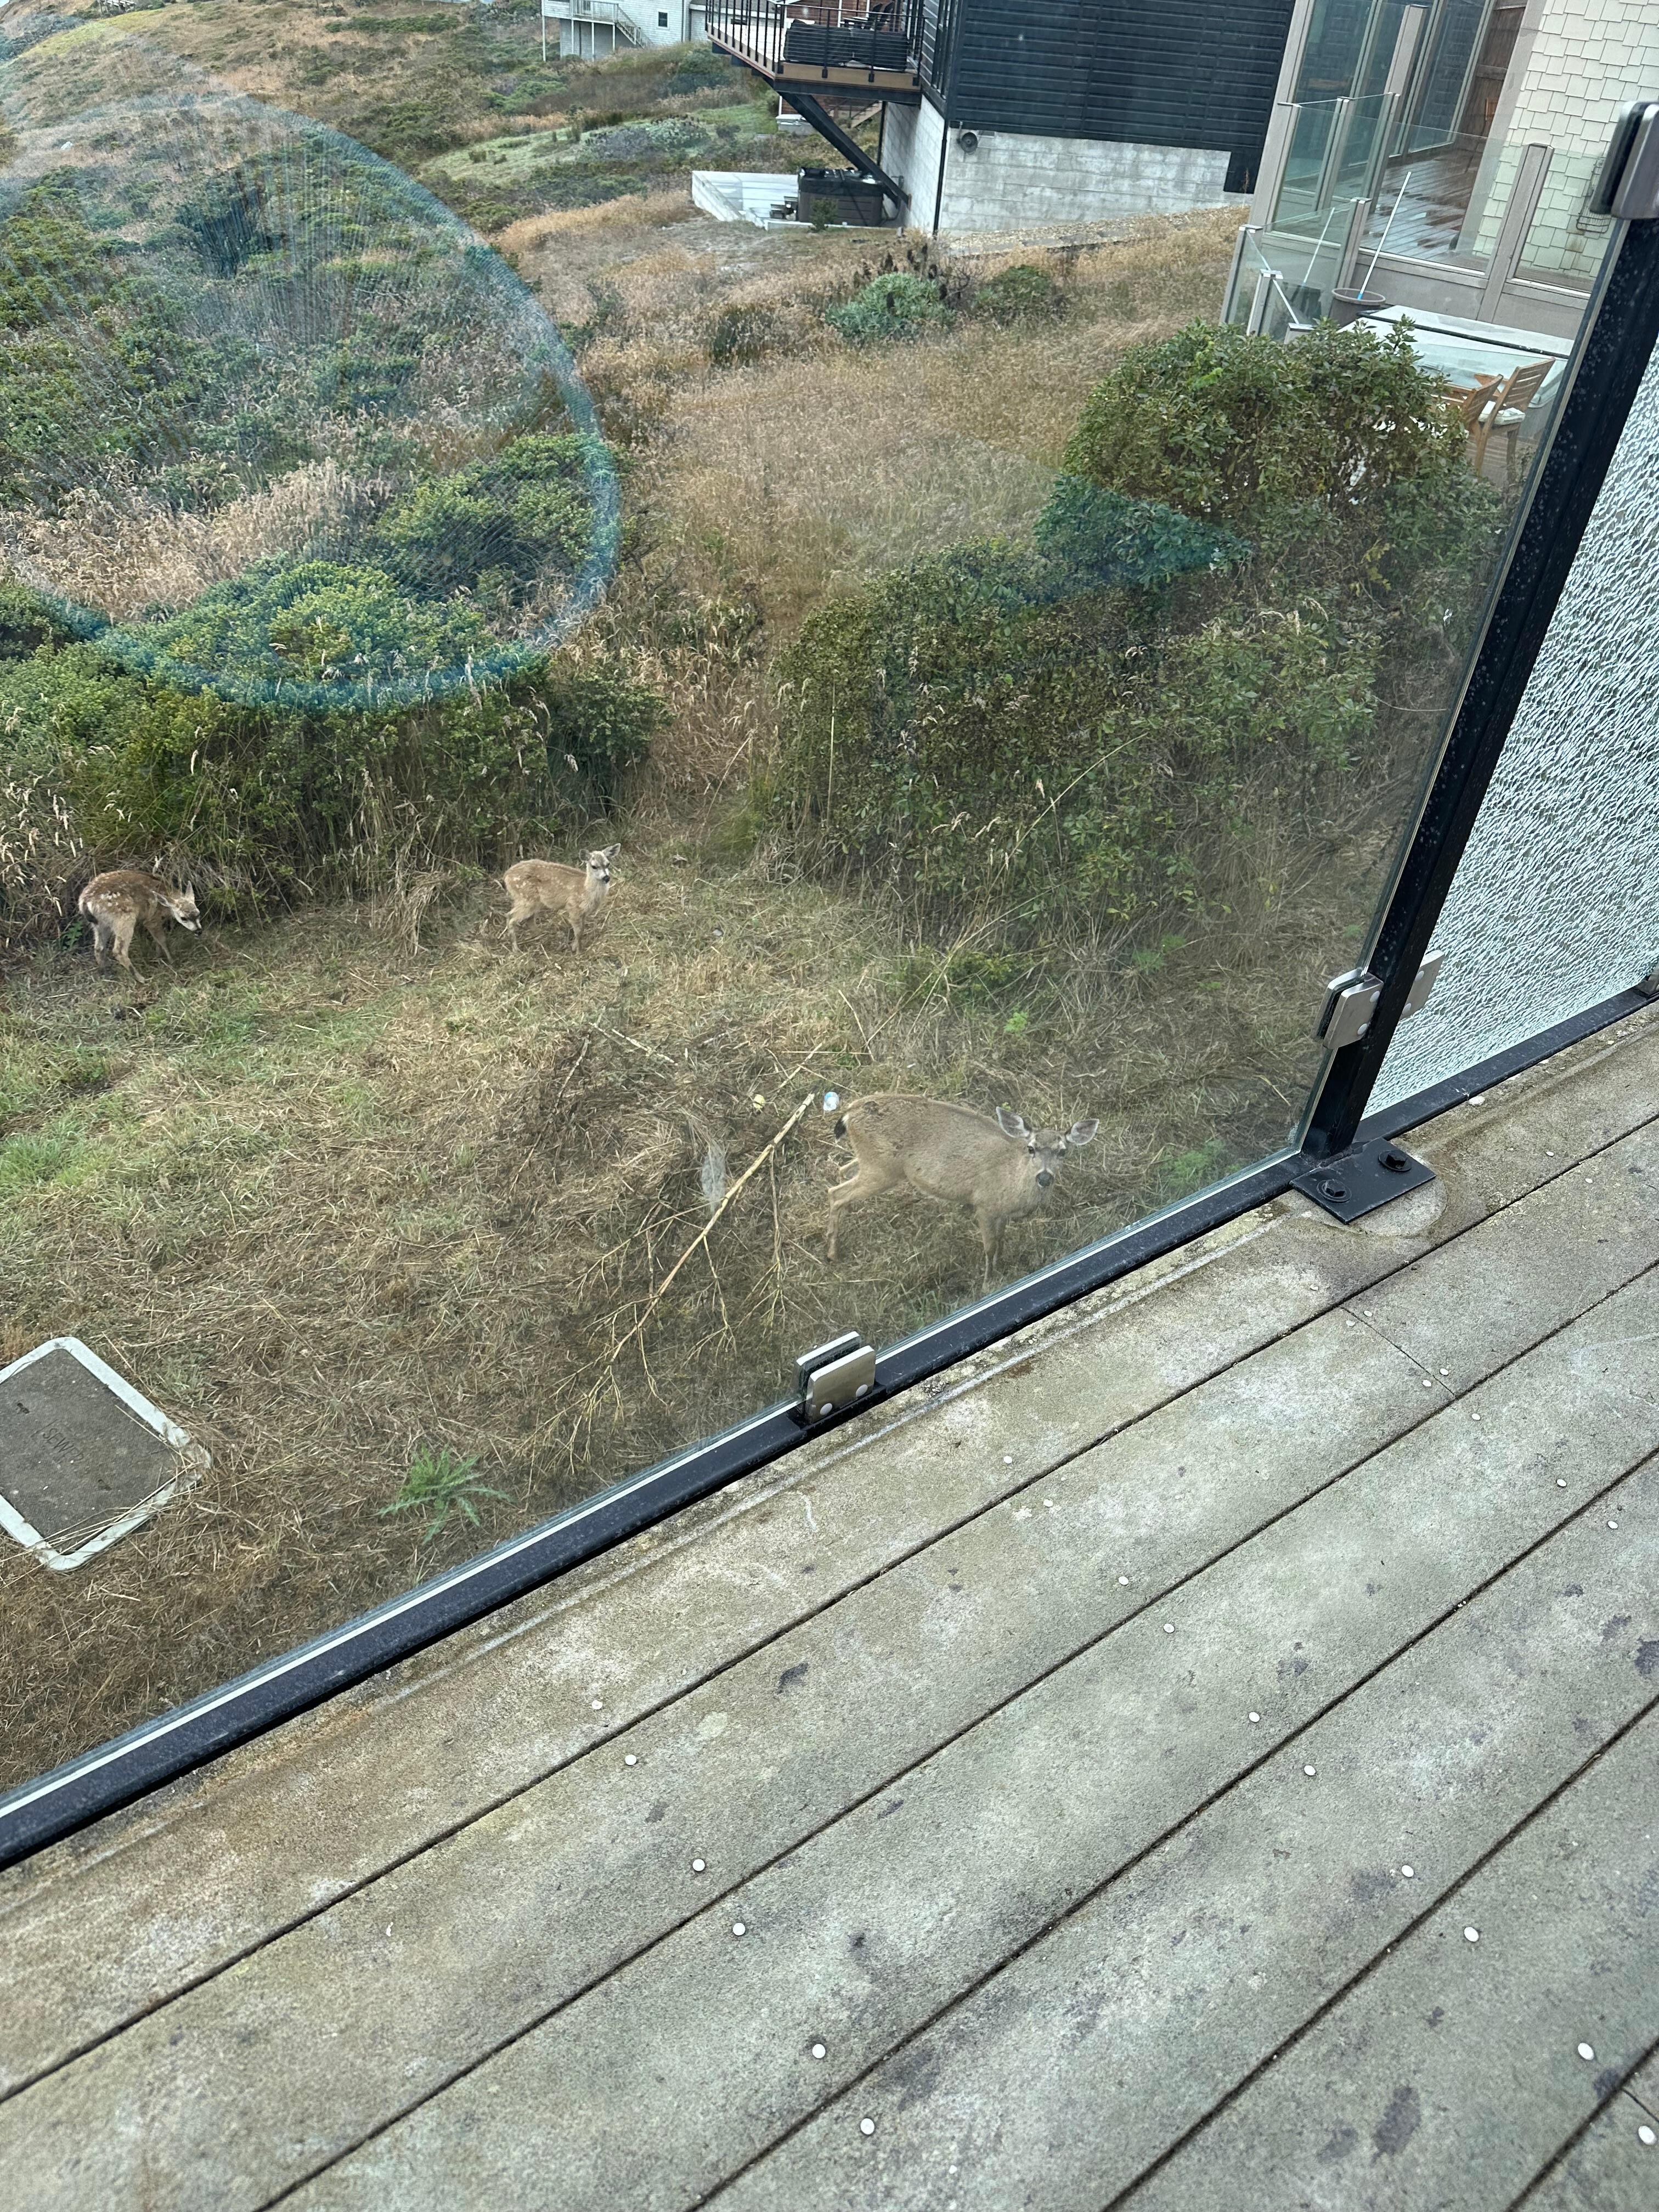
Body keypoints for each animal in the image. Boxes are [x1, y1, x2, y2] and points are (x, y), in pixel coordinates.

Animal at [77, 869, 202, 973]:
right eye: (183, 918)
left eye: (198, 913)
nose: (199, 931)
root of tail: (85, 902)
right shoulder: (152, 920)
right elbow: (162, 940)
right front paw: (172, 960)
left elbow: (157, 941)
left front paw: (158, 955)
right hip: (124, 918)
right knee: (119, 951)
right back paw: (140, 978)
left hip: (99, 924)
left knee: (99, 948)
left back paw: (107, 972)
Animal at [500, 846, 619, 955]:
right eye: (594, 866)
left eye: (608, 864)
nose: (606, 878)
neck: (585, 889)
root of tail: (506, 876)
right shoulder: (573, 907)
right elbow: (579, 932)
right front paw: (578, 952)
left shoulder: (583, 912)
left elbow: (582, 929)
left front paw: (574, 947)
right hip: (526, 898)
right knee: (511, 917)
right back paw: (516, 950)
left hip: (533, 901)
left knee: (528, 919)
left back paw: (543, 935)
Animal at [827, 1093, 1099, 1287]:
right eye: (1031, 1148)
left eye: (1063, 1152)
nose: (1044, 1177)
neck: (1012, 1184)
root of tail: (849, 1114)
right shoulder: (984, 1204)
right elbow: (990, 1246)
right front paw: (988, 1282)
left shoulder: (1001, 1213)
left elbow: (1001, 1239)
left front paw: (1002, 1267)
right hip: (883, 1169)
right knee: (836, 1193)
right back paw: (832, 1254)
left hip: (874, 1163)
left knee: (843, 1171)